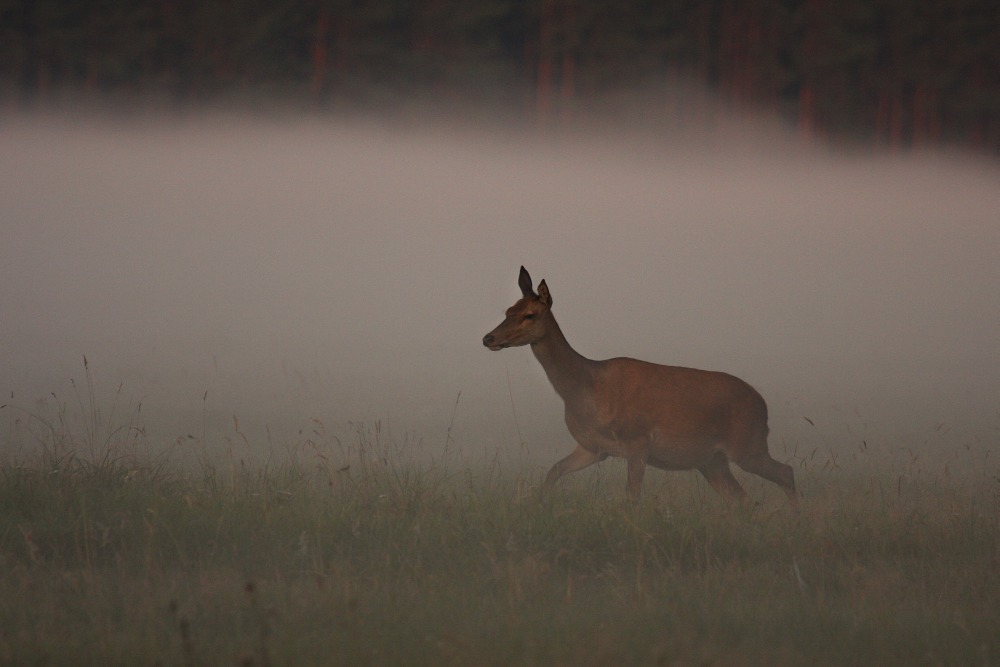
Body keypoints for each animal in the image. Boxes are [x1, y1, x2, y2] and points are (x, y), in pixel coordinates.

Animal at [480, 264, 800, 508]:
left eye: (530, 314)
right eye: (508, 309)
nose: (488, 338)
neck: (586, 388)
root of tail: (763, 405)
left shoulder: (637, 441)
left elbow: (632, 496)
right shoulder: (593, 447)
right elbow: (553, 472)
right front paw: (542, 505)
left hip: (747, 444)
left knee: (786, 472)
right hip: (713, 460)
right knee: (743, 498)